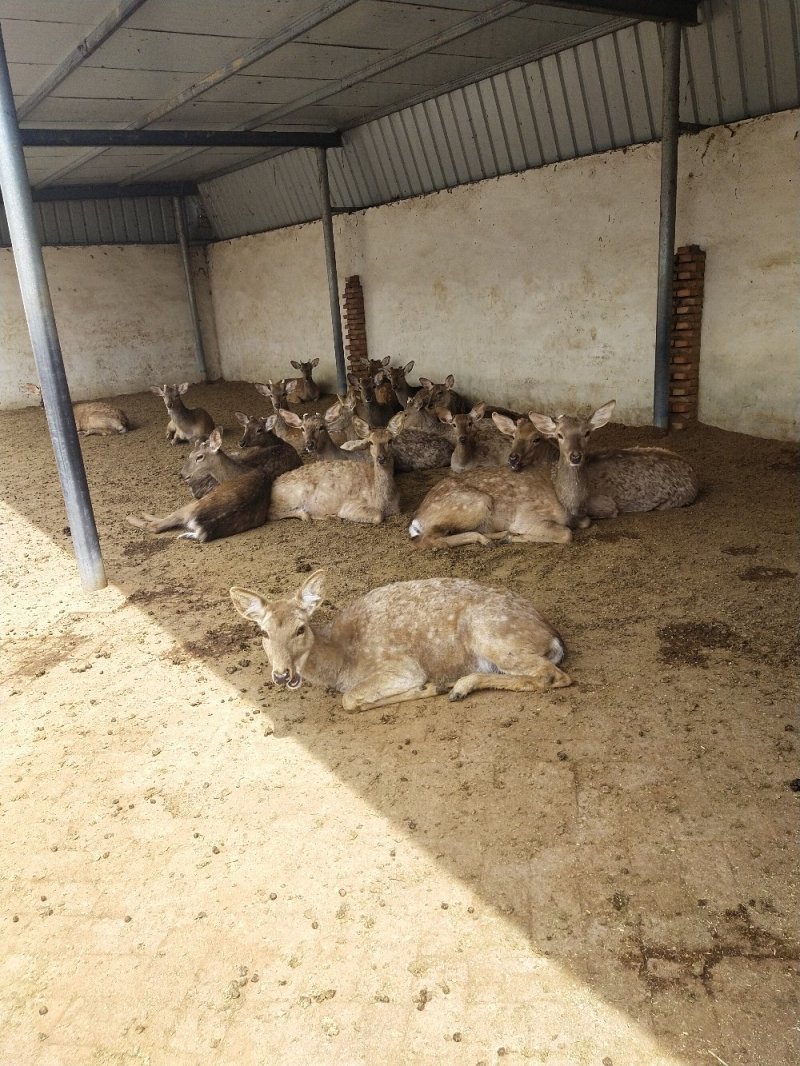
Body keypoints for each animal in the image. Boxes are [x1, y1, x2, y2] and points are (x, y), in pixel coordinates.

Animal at [230, 569, 571, 712]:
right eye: (263, 632)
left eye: (300, 628)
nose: (281, 674)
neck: (341, 661)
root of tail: (552, 636)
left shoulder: (400, 665)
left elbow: (349, 699)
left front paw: (427, 688)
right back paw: (458, 687)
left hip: (490, 633)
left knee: (552, 675)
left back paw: (455, 687)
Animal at [269, 425, 400, 525]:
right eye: (371, 442)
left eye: (390, 440)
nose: (381, 458)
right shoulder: (350, 505)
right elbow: (378, 516)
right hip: (293, 495)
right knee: (273, 513)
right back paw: (309, 515)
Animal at [408, 463, 572, 549]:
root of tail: (417, 519)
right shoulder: (528, 516)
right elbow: (567, 534)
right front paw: (512, 537)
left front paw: (509, 536)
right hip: (476, 503)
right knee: (426, 540)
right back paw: (490, 540)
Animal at [527, 400, 699, 521]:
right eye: (559, 435)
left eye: (587, 433)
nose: (575, 456)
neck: (573, 500)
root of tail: (693, 472)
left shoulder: (607, 505)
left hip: (678, 497)